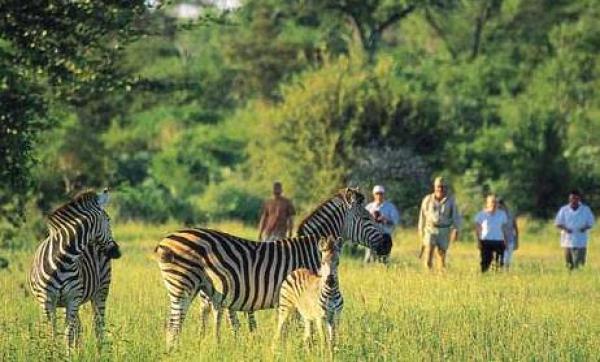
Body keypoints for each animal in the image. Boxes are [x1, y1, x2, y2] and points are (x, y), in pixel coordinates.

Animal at [28, 189, 120, 348]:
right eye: (108, 220)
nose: (117, 251)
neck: (62, 259)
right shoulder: (46, 301)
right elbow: (52, 334)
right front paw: (52, 352)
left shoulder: (72, 299)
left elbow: (68, 334)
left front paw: (67, 353)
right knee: (80, 327)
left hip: (100, 291)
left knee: (98, 327)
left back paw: (99, 352)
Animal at [154, 187, 390, 348]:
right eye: (367, 217)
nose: (388, 244)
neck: (311, 250)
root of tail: (164, 241)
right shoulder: (298, 295)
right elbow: (299, 329)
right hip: (183, 286)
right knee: (174, 325)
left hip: (197, 289)